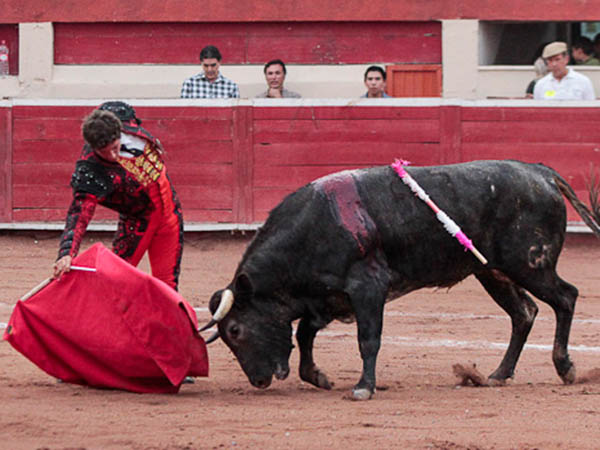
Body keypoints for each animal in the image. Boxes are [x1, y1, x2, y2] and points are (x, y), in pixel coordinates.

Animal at [203, 159, 600, 400]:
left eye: (235, 330)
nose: (258, 380)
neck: (314, 228)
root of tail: (540, 172)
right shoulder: (326, 298)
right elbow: (303, 334)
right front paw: (317, 376)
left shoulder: (368, 288)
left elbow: (368, 339)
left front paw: (363, 388)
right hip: (492, 271)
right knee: (524, 313)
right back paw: (499, 374)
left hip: (531, 264)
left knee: (566, 297)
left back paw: (565, 368)